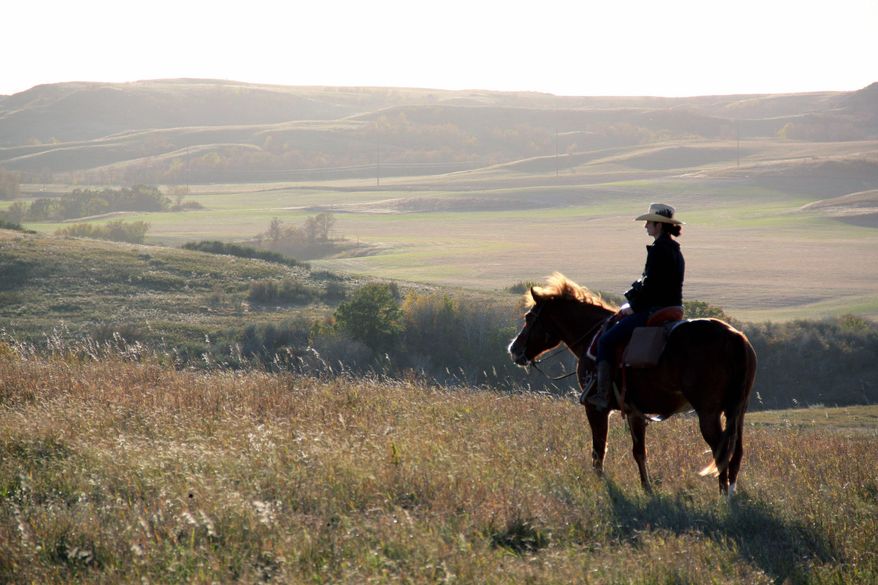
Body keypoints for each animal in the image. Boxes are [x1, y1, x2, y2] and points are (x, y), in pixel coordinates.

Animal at [507, 273, 757, 496]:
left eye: (529, 317)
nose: (514, 349)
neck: (593, 337)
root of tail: (734, 338)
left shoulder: (596, 408)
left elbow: (598, 450)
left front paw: (599, 483)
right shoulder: (635, 412)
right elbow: (639, 452)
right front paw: (647, 488)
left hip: (708, 413)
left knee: (720, 450)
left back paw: (723, 495)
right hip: (736, 412)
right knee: (736, 452)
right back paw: (731, 494)